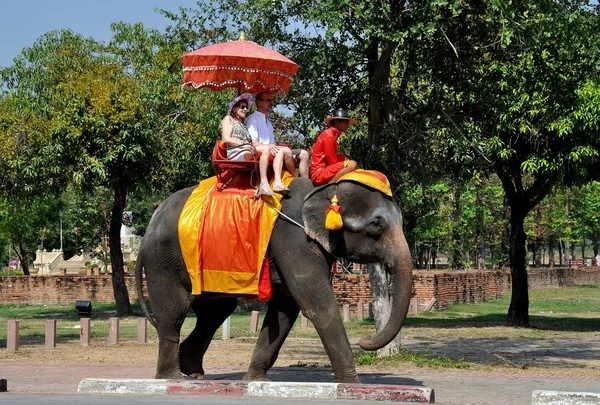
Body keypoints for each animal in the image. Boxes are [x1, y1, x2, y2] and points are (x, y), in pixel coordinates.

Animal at [135, 176, 412, 382]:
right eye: (376, 224)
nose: (363, 341)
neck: (322, 187)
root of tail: (149, 225)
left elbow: (285, 309)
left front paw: (256, 381)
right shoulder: (293, 240)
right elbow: (317, 305)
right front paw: (352, 385)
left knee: (217, 311)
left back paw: (192, 371)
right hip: (164, 260)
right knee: (174, 313)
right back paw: (171, 378)